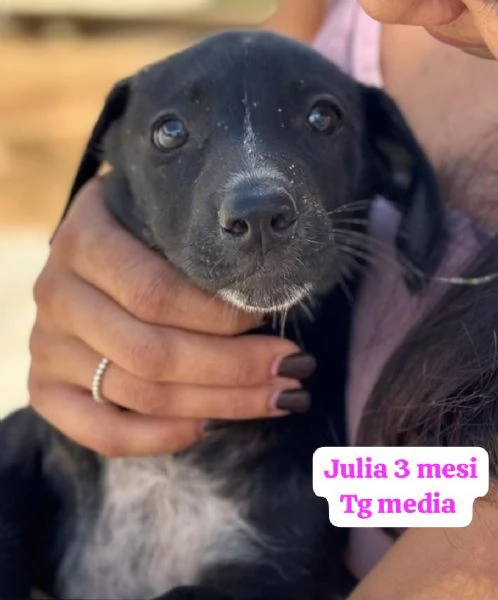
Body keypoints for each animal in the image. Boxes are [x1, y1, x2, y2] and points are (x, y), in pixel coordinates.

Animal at [0, 32, 444, 600]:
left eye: (324, 117)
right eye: (170, 131)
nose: (259, 214)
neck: (176, 462)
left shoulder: (280, 568)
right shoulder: (25, 438)